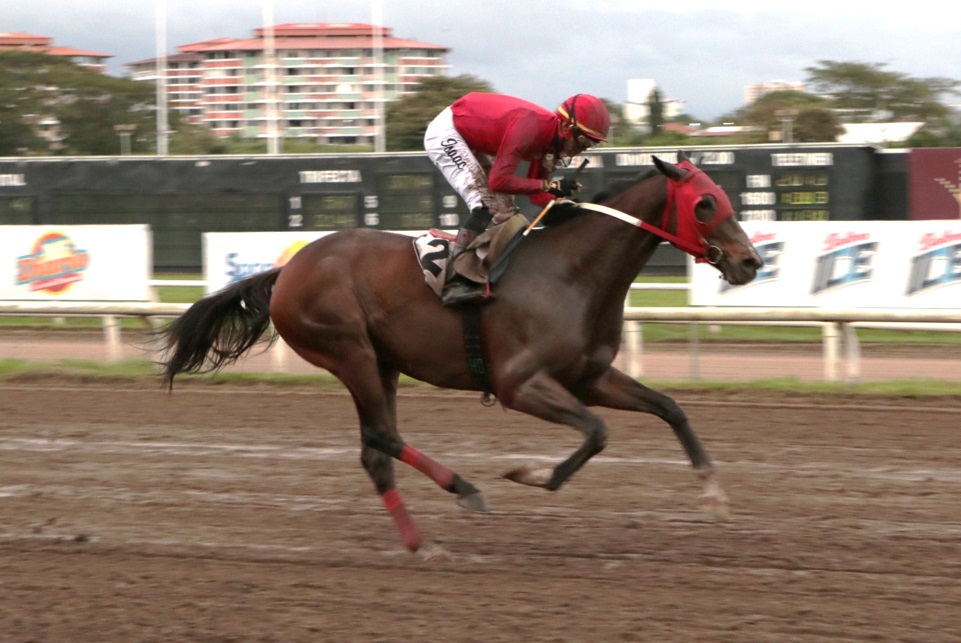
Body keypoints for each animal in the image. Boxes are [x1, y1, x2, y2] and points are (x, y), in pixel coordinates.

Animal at [159, 155, 756, 552]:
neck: (574, 270)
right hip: (348, 351)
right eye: (705, 204)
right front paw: (529, 474)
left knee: (375, 452)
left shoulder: (589, 376)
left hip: (381, 361)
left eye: (725, 198)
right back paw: (464, 491)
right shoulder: (520, 384)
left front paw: (715, 496)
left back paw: (420, 541)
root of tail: (287, 270)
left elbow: (669, 408)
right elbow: (596, 432)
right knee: (384, 437)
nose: (750, 261)